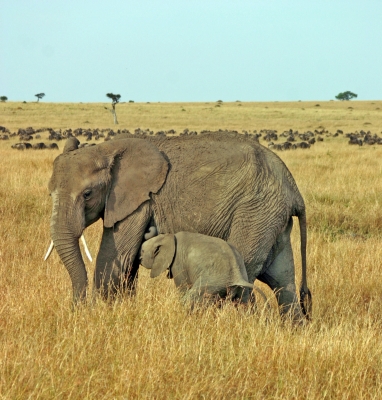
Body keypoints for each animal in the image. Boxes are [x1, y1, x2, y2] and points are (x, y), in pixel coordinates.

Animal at [47, 133, 310, 320]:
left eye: (87, 194)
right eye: (50, 193)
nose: (76, 309)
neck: (104, 149)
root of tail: (293, 188)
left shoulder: (138, 202)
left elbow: (114, 259)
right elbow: (126, 266)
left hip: (256, 209)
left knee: (243, 272)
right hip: (271, 217)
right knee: (282, 281)